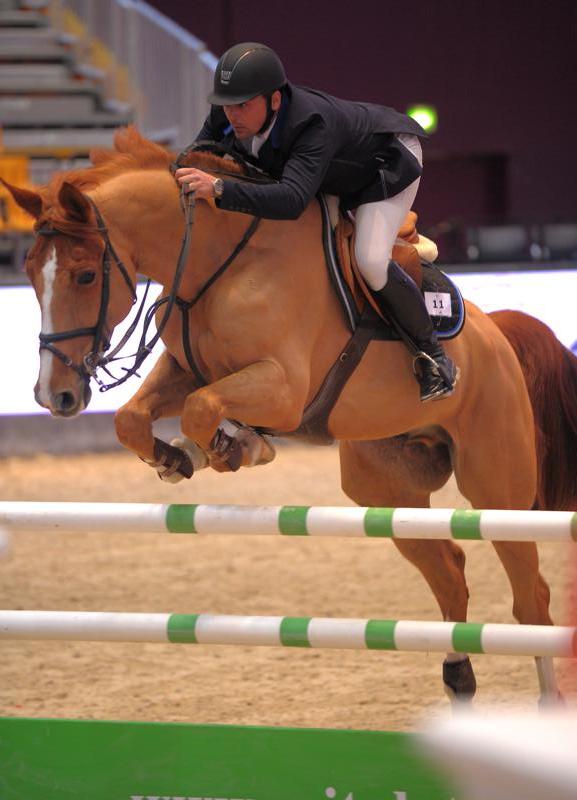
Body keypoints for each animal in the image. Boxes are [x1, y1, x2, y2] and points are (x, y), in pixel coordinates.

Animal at [4, 130, 576, 708]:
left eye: (85, 275)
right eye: (28, 274)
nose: (56, 395)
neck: (215, 265)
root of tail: (495, 331)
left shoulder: (282, 389)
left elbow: (202, 409)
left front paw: (234, 447)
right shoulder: (185, 371)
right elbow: (134, 418)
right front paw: (179, 457)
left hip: (495, 485)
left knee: (530, 596)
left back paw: (546, 702)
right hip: (383, 488)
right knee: (451, 573)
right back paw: (458, 678)